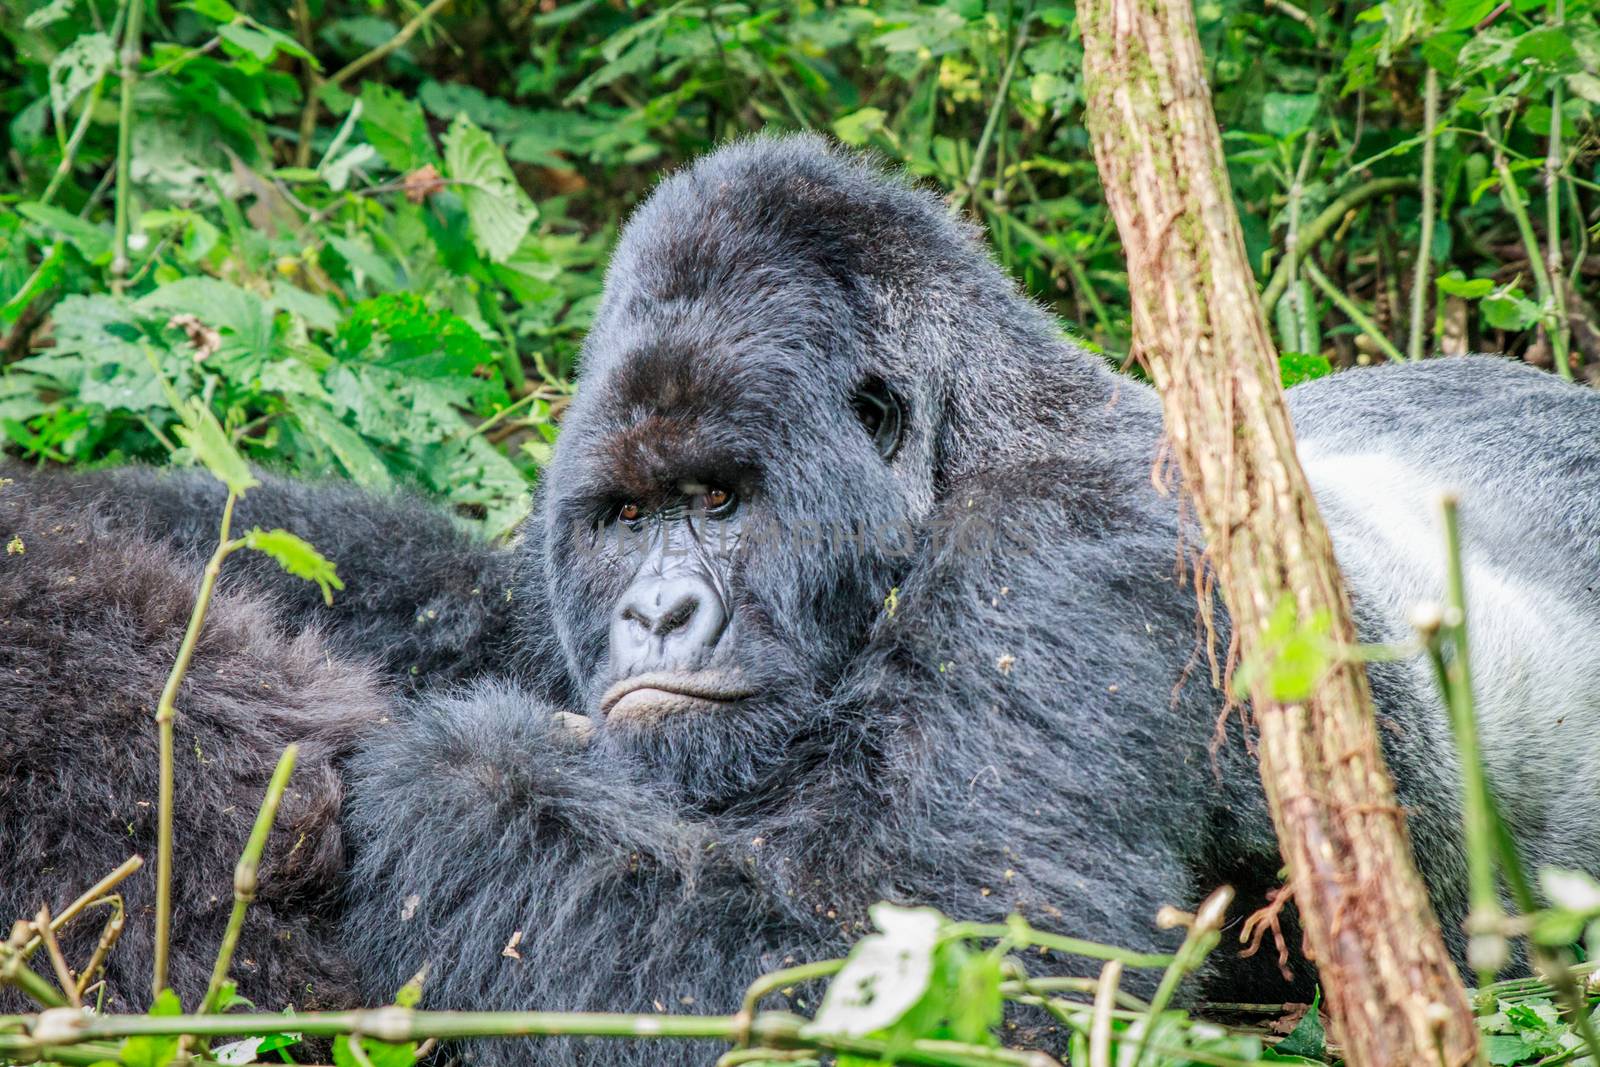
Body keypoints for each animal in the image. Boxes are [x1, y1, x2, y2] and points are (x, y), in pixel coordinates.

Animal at [3, 137, 1600, 1062]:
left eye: (720, 502)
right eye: (628, 515)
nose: (655, 616)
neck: (965, 444)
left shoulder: (1078, 565)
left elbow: (971, 981)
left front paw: (446, 774)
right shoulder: (540, 586)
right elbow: (410, 581)